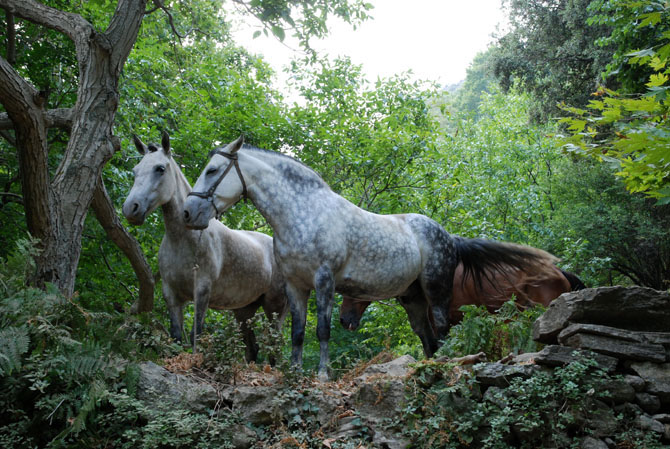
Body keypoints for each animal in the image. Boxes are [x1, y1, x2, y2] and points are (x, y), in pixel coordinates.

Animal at [123, 130, 288, 360]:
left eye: (160, 169)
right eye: (135, 170)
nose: (131, 208)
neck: (184, 240)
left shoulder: (201, 291)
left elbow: (196, 336)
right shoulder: (171, 295)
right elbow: (176, 338)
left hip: (275, 308)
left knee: (274, 350)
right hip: (244, 311)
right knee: (252, 349)